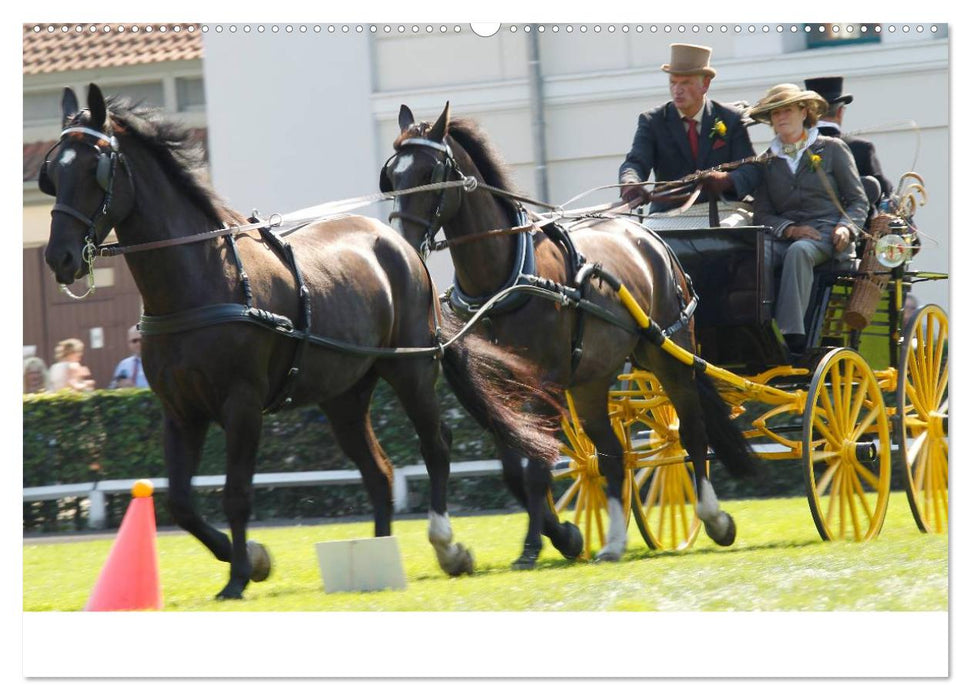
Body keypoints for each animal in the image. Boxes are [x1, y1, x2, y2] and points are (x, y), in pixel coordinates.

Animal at [41, 85, 560, 600]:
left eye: (94, 168)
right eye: (53, 173)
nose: (59, 257)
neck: (203, 279)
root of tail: (400, 245)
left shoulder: (242, 405)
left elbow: (236, 494)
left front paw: (238, 575)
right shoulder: (180, 411)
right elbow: (182, 503)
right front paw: (250, 558)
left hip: (410, 371)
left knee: (436, 445)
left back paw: (447, 544)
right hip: (343, 397)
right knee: (379, 472)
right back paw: (378, 554)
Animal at [382, 106, 760, 572]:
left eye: (430, 171)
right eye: (391, 176)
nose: (402, 243)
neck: (506, 278)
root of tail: (651, 238)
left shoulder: (544, 383)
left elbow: (536, 468)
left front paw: (536, 546)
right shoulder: (500, 387)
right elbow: (516, 467)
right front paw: (564, 535)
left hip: (671, 355)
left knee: (691, 432)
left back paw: (714, 518)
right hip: (590, 383)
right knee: (613, 455)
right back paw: (613, 542)